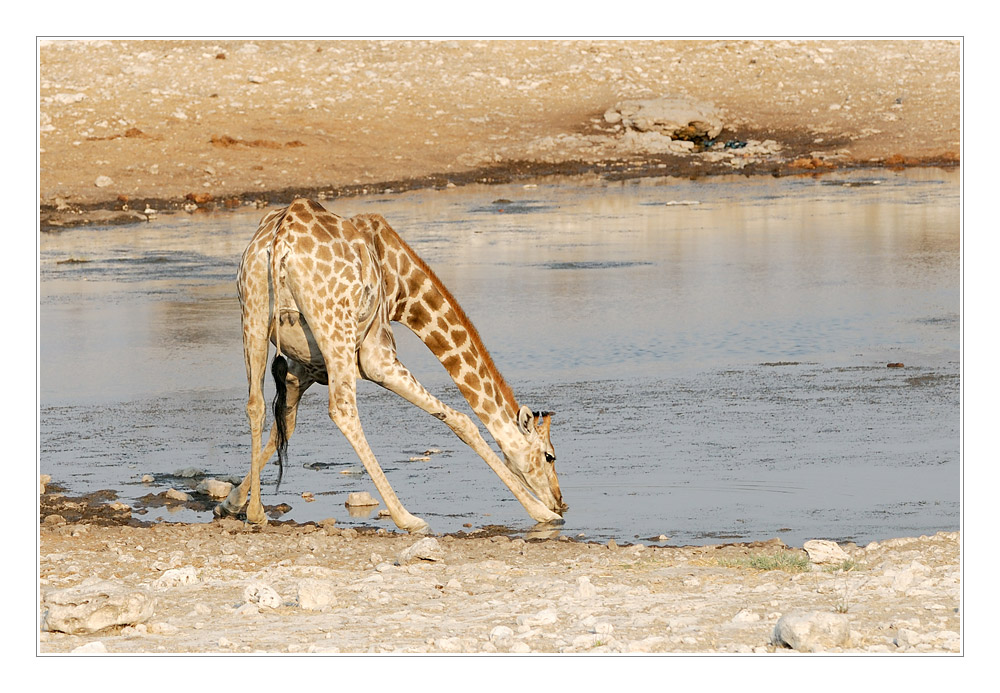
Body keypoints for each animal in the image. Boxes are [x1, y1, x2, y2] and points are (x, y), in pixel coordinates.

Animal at [215, 197, 568, 532]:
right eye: (549, 456)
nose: (560, 501)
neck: (402, 286)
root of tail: (281, 239)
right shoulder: (376, 357)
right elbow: (461, 420)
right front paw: (541, 513)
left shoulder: (303, 369)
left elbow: (283, 425)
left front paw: (231, 503)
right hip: (334, 328)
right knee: (343, 409)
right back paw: (407, 517)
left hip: (254, 317)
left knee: (255, 404)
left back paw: (257, 514)